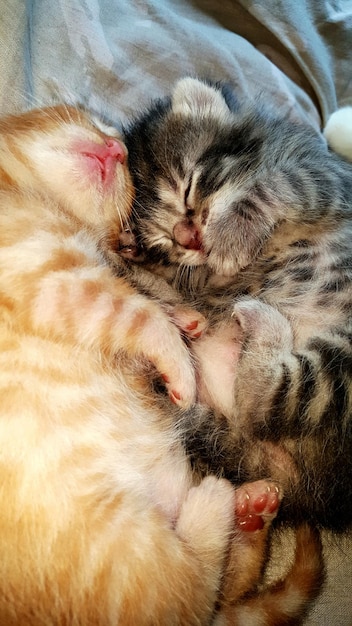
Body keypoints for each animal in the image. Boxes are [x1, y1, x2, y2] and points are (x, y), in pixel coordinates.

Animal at [0, 105, 324, 620]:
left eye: (112, 137)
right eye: (91, 120)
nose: (116, 147)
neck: (16, 187)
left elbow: (135, 293)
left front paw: (182, 319)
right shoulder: (49, 270)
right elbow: (131, 308)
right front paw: (180, 361)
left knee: (223, 588)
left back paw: (249, 514)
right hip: (118, 554)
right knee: (190, 590)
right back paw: (215, 504)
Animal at [122, 75, 352, 528]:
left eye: (187, 187)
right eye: (164, 241)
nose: (189, 237)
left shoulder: (327, 175)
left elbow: (281, 183)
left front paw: (234, 234)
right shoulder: (200, 282)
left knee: (266, 405)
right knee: (265, 405)